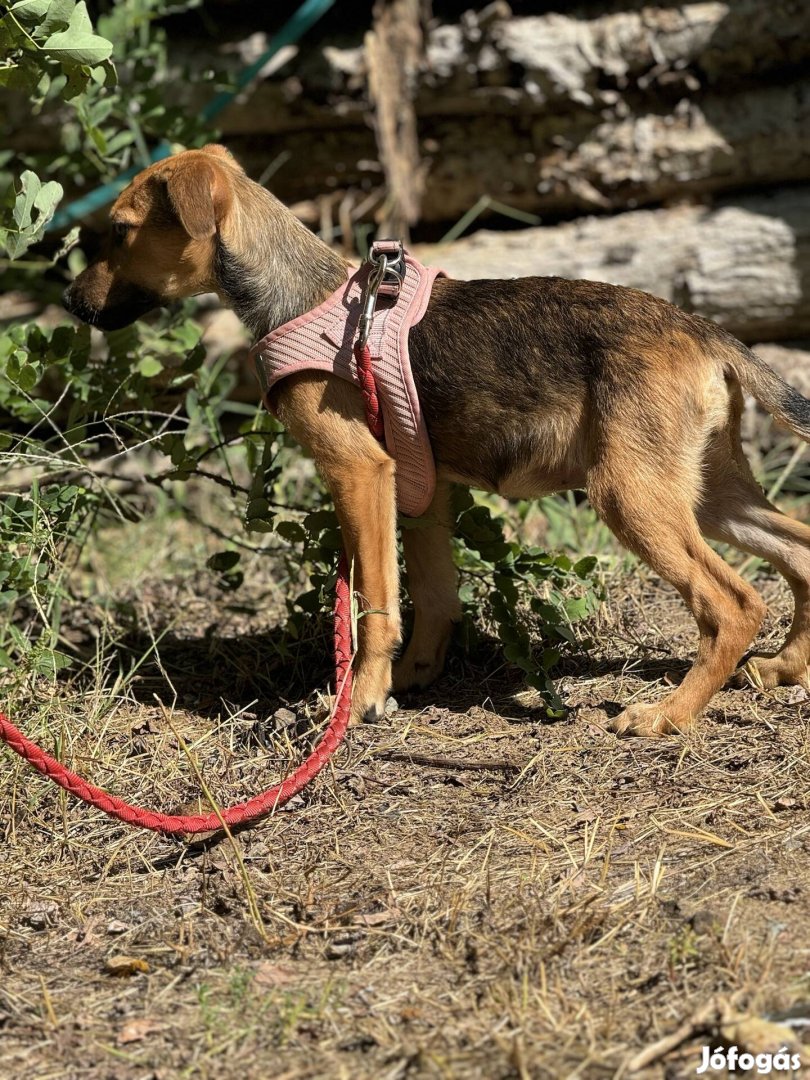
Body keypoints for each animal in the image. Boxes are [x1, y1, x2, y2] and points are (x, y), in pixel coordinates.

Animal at [63, 145, 810, 734]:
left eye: (120, 232)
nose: (70, 302)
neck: (302, 295)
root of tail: (702, 329)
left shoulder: (360, 472)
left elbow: (374, 605)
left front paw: (359, 701)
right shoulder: (421, 492)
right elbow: (434, 597)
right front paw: (409, 680)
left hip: (632, 494)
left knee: (734, 603)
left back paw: (668, 714)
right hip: (704, 489)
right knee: (798, 549)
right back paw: (784, 667)